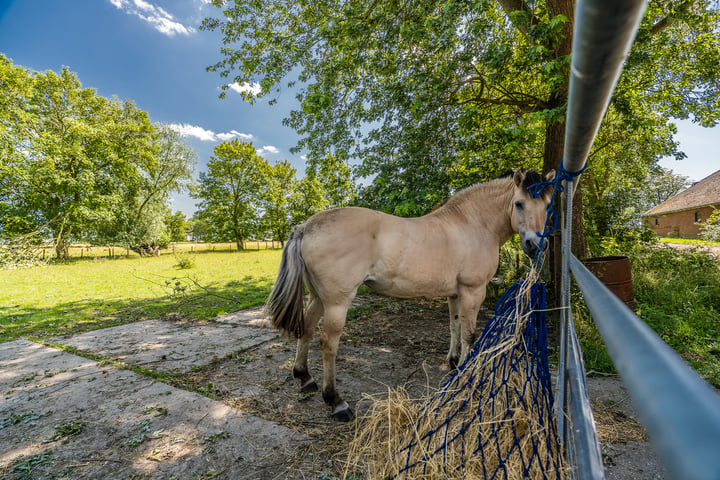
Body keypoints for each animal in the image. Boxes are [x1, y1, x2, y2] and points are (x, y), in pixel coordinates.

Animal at [268, 169, 556, 420]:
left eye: (547, 206)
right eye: (519, 203)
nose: (536, 245)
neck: (474, 224)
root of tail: (307, 225)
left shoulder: (454, 293)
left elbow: (454, 327)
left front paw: (453, 363)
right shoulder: (473, 291)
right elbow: (470, 334)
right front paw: (465, 372)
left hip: (318, 297)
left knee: (306, 328)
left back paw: (305, 378)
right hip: (337, 302)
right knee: (328, 342)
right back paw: (336, 402)